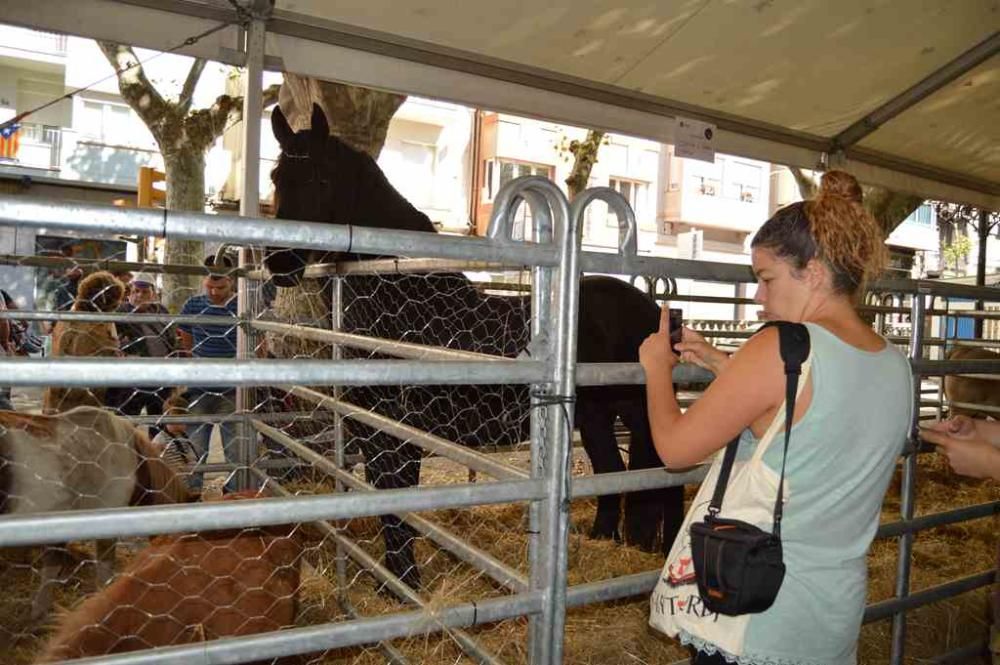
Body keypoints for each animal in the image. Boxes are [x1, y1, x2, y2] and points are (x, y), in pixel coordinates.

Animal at [266, 104, 684, 588]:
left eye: (321, 179)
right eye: (277, 177)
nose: (276, 263)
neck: (409, 305)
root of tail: (652, 309)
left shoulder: (403, 433)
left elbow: (401, 503)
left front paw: (407, 583)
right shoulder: (374, 431)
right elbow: (386, 502)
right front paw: (391, 582)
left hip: (639, 413)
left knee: (669, 481)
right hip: (594, 415)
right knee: (611, 472)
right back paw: (601, 545)